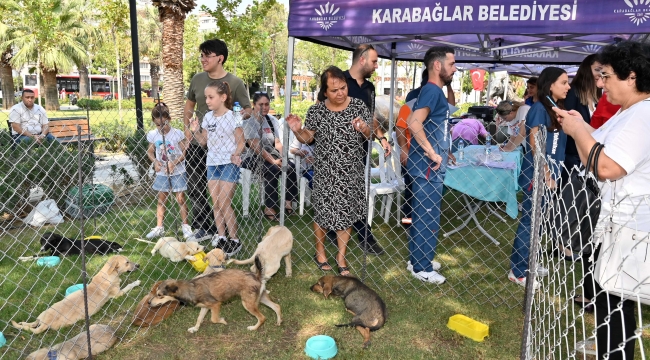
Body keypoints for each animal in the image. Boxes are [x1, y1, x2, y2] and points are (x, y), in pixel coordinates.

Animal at [12, 253, 140, 334]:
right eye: (127, 262)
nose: (138, 265)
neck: (108, 274)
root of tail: (46, 322)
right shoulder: (118, 294)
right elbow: (128, 286)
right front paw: (136, 282)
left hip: (43, 313)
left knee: (33, 324)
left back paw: (22, 323)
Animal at [149, 258, 280, 334]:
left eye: (160, 295)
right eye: (155, 293)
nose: (149, 303)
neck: (189, 289)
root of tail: (257, 276)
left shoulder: (215, 304)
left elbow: (214, 319)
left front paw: (223, 321)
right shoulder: (205, 307)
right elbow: (199, 318)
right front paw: (195, 329)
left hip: (248, 303)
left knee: (262, 318)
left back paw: (253, 328)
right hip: (260, 298)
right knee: (277, 306)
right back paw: (279, 322)